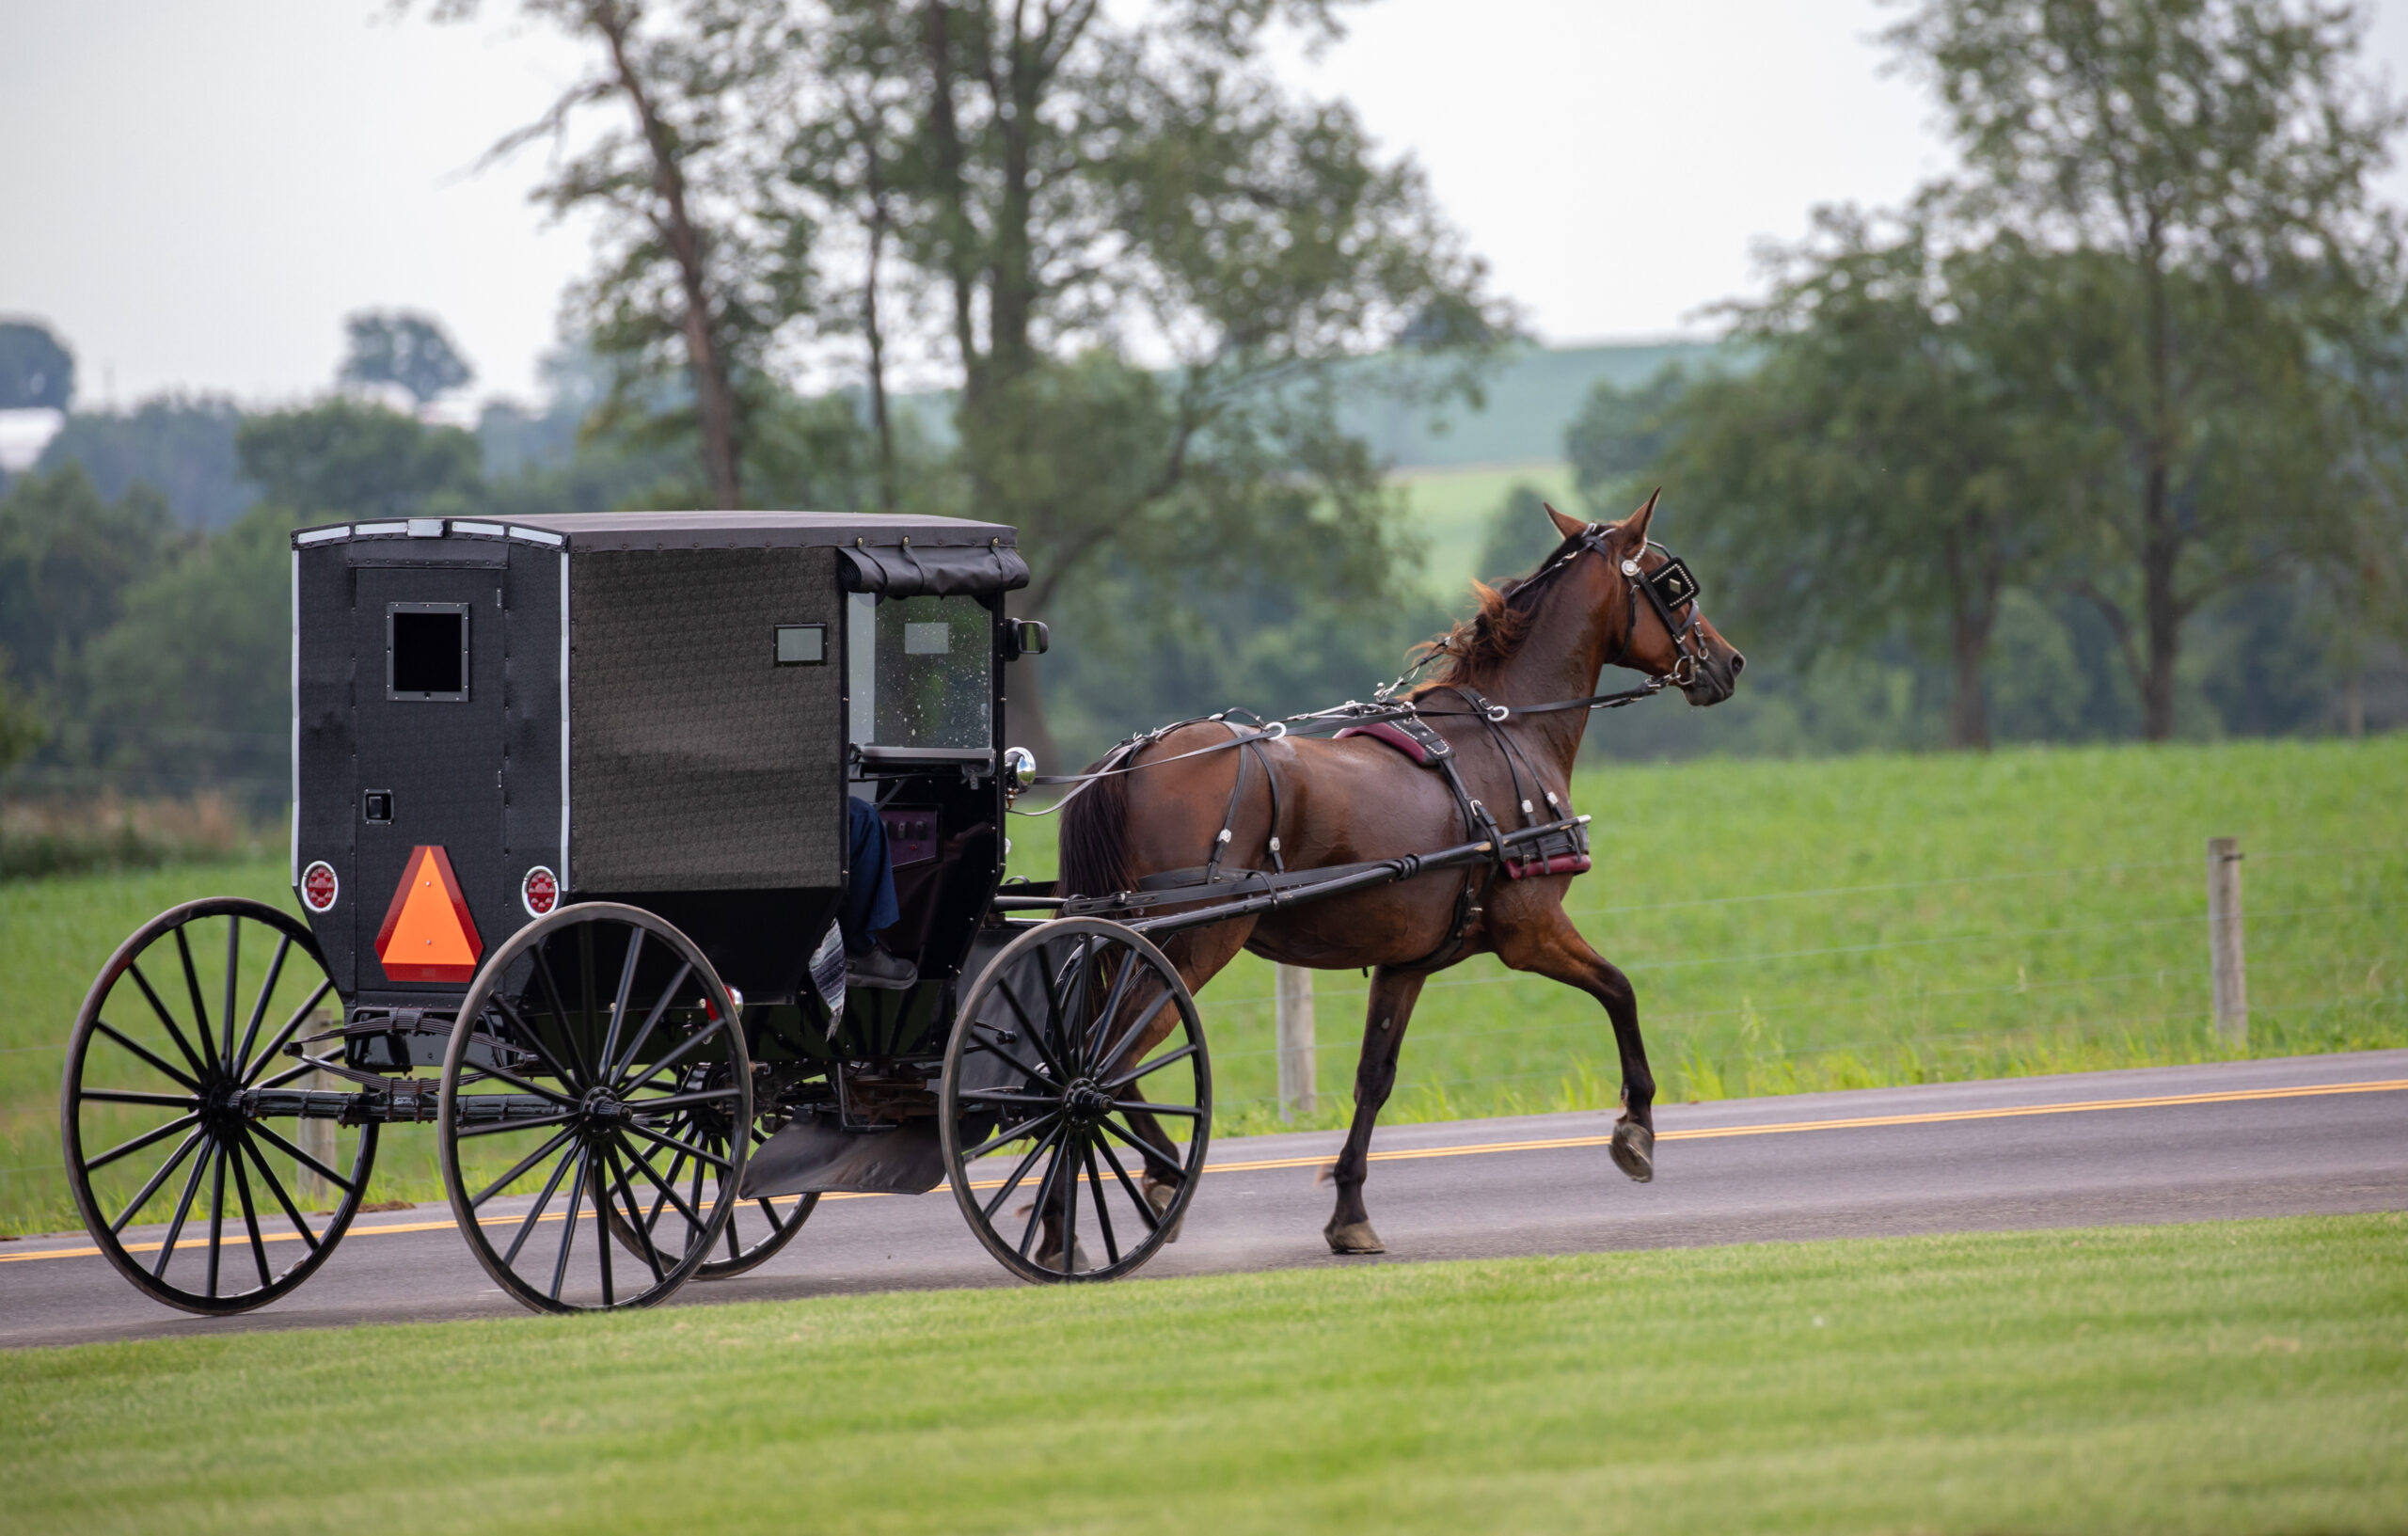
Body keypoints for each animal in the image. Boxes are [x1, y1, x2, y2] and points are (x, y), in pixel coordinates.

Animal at [1055, 493, 1745, 1254]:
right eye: (1672, 584)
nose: (1729, 661)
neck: (1509, 729)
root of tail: (1133, 756)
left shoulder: (1407, 960)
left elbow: (1374, 1078)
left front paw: (1350, 1209)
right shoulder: (1530, 930)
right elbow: (1620, 990)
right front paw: (1637, 1129)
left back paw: (1065, 1225)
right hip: (1192, 941)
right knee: (1104, 1059)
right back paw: (1157, 1176)